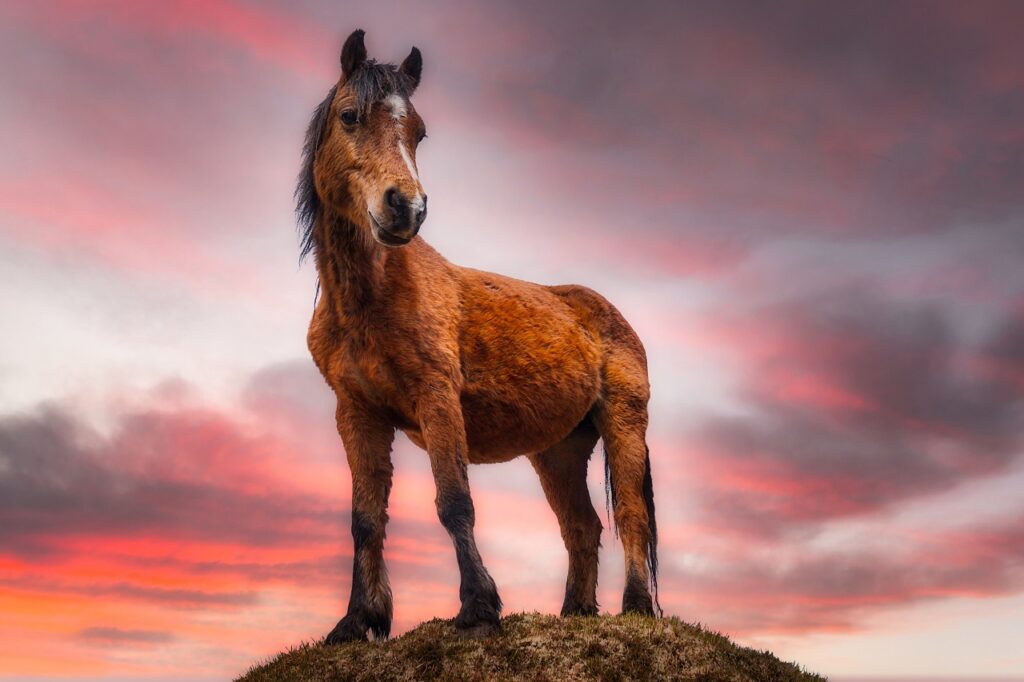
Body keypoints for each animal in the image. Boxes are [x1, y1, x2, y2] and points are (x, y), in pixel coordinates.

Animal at [299, 29, 659, 642]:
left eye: (419, 131)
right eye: (349, 116)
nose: (406, 208)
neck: (369, 298)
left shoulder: (437, 398)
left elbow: (454, 503)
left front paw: (477, 608)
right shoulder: (357, 413)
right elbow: (365, 519)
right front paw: (357, 621)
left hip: (623, 424)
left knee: (629, 514)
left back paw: (635, 608)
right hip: (559, 450)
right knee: (582, 527)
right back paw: (575, 611)